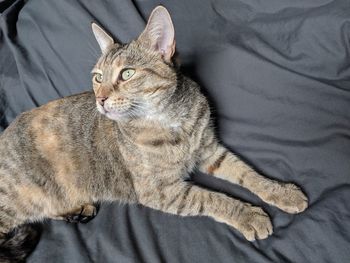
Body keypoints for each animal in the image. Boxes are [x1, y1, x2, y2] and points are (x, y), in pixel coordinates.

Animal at [0, 5, 306, 262]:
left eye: (126, 74)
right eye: (98, 77)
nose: (100, 98)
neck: (171, 120)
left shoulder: (210, 150)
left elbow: (248, 173)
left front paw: (280, 192)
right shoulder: (161, 190)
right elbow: (211, 198)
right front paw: (247, 215)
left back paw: (76, 209)